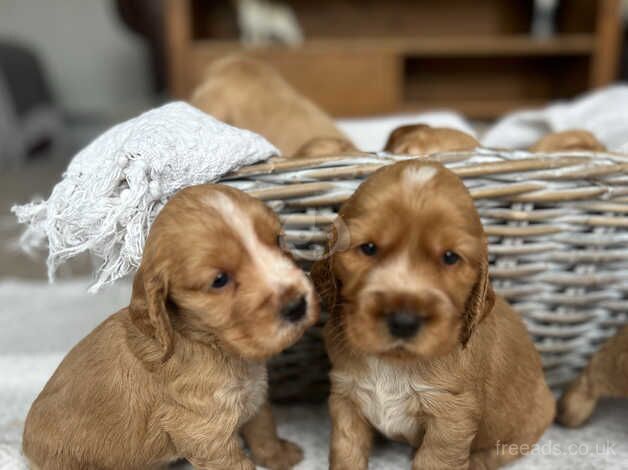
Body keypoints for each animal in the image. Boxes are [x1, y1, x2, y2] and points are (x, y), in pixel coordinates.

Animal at [314, 161, 556, 470]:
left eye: (450, 257)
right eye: (368, 248)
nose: (404, 321)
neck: (394, 362)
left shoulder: (453, 414)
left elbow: (435, 460)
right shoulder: (345, 396)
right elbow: (346, 449)